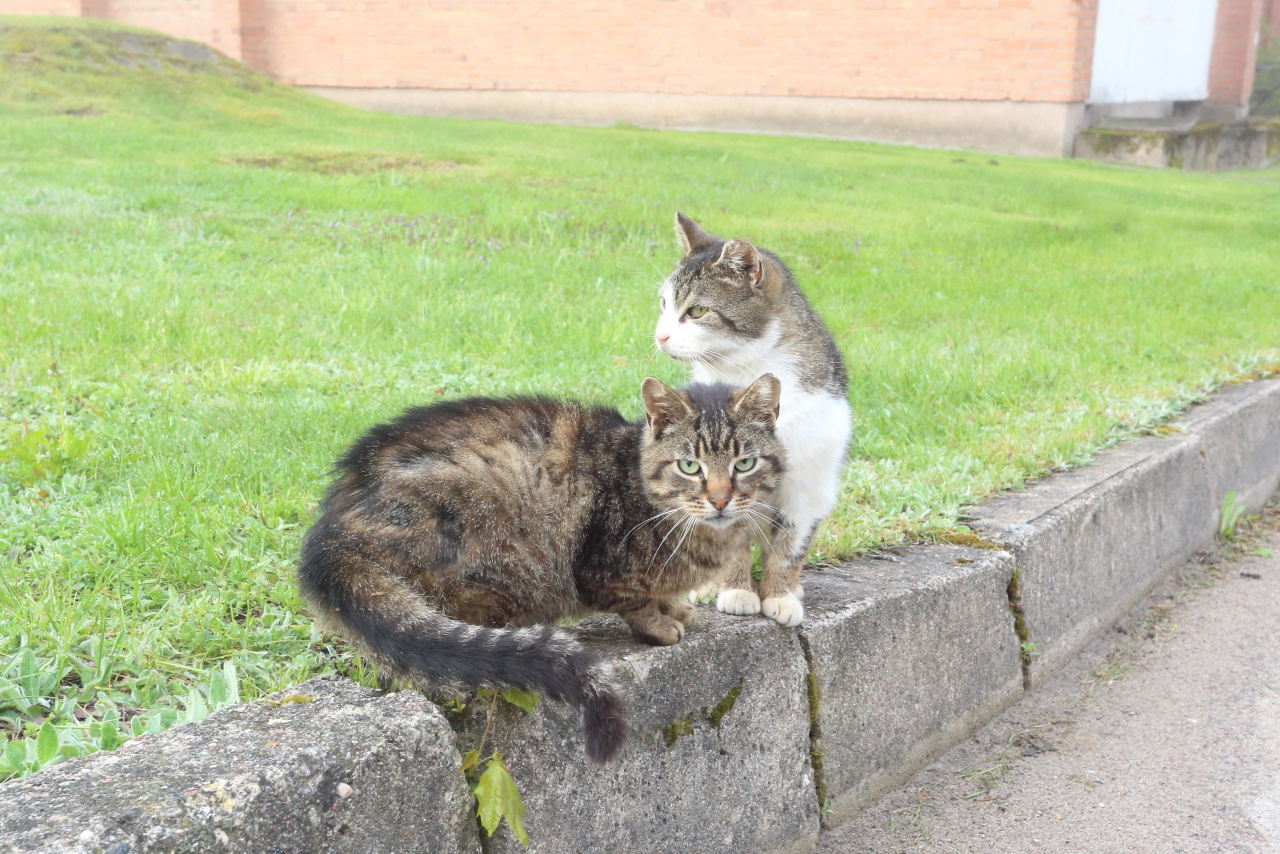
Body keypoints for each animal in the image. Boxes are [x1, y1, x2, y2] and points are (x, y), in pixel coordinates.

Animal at [297, 373, 785, 763]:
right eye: (689, 466)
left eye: (744, 463)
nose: (720, 500)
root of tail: (330, 532)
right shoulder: (598, 570)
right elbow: (633, 601)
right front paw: (660, 624)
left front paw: (677, 607)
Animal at [653, 213, 851, 629]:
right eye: (664, 304)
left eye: (697, 312)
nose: (660, 336)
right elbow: (730, 540)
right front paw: (737, 591)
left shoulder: (809, 486)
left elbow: (789, 549)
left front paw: (781, 595)